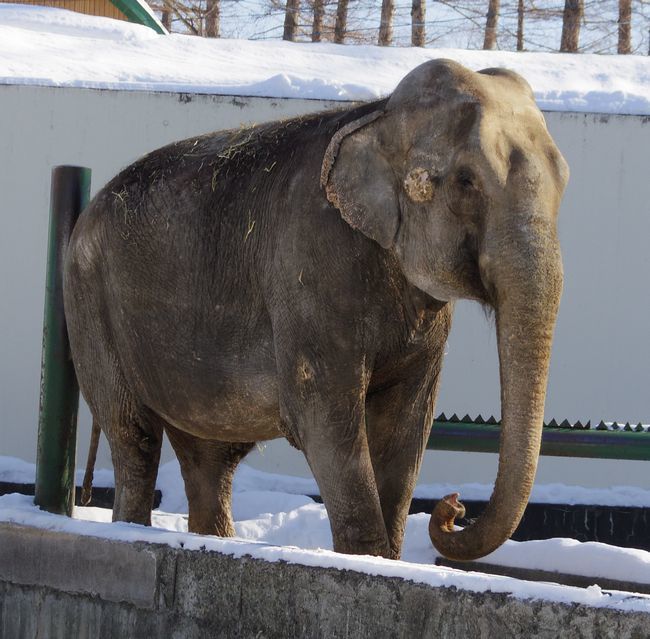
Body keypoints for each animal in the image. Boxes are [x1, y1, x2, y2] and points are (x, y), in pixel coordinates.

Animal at [63, 58, 564, 560]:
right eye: (465, 182)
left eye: (564, 183)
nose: (454, 507)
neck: (378, 114)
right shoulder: (310, 267)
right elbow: (324, 417)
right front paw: (368, 560)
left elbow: (408, 423)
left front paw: (389, 559)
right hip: (89, 304)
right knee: (134, 435)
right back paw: (131, 530)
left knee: (211, 457)